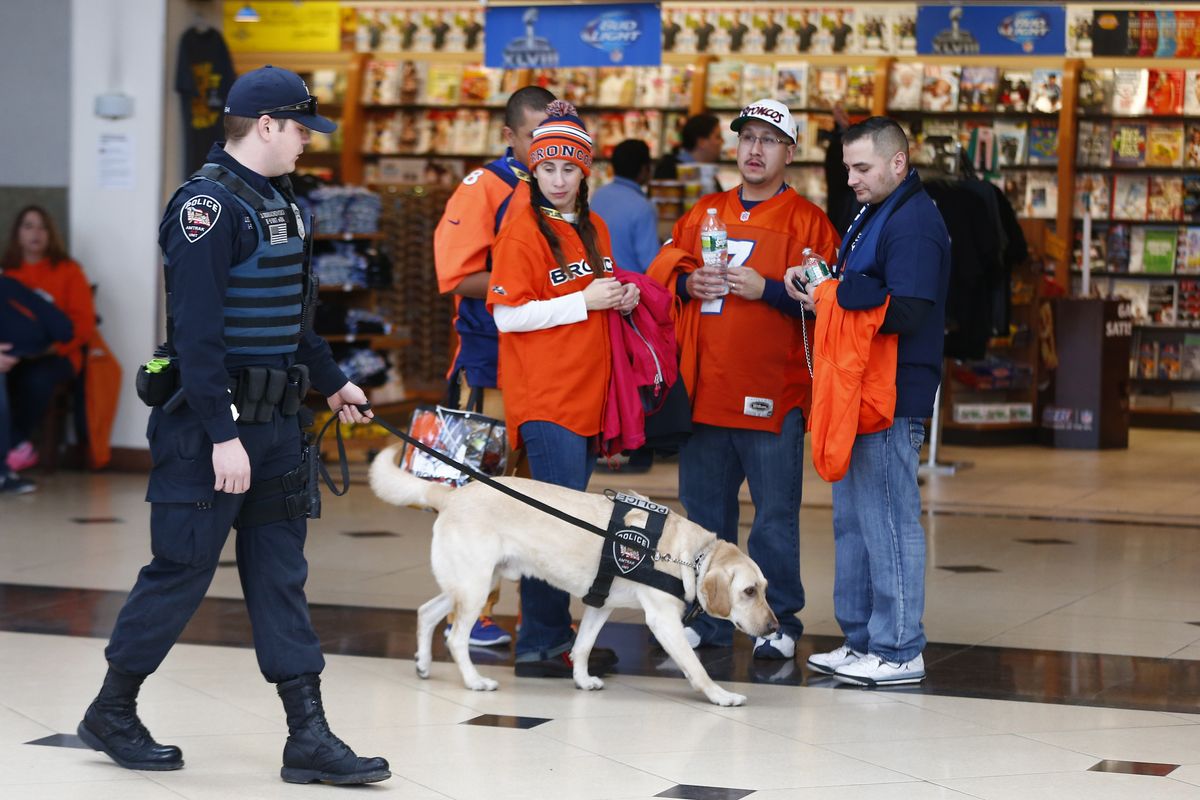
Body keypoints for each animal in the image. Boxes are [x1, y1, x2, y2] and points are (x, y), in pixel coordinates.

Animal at [367, 443, 777, 705]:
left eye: (764, 589)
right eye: (748, 592)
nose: (774, 628)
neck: (691, 556)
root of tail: (453, 494)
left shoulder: (600, 606)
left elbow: (581, 648)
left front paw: (581, 680)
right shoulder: (663, 622)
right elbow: (697, 668)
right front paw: (722, 696)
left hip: (473, 583)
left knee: (427, 612)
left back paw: (423, 664)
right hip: (475, 587)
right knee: (455, 638)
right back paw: (474, 681)